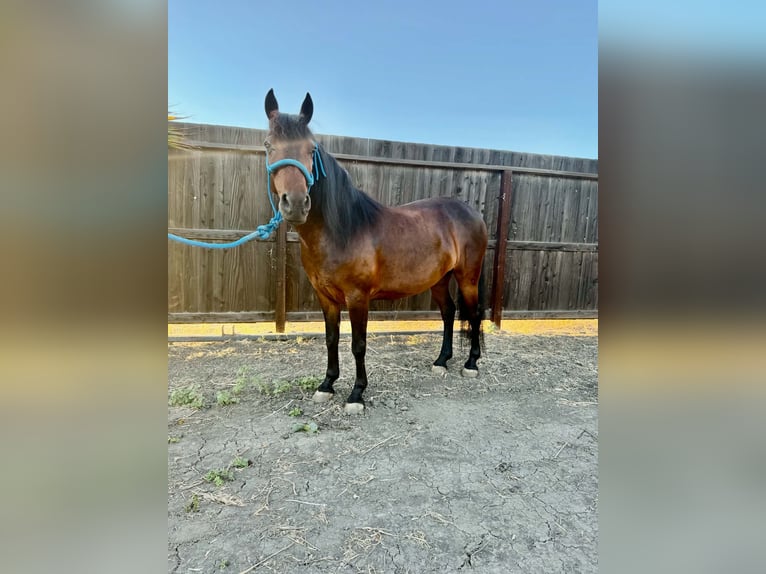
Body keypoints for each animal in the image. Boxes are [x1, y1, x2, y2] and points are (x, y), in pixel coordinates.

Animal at [263, 89, 488, 413]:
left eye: (311, 148)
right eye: (268, 145)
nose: (294, 203)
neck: (342, 229)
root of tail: (471, 212)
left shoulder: (358, 298)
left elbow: (358, 344)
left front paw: (357, 394)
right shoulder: (325, 297)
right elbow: (331, 339)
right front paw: (327, 385)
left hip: (468, 277)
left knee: (474, 313)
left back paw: (471, 364)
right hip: (439, 279)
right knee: (448, 312)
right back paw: (441, 361)